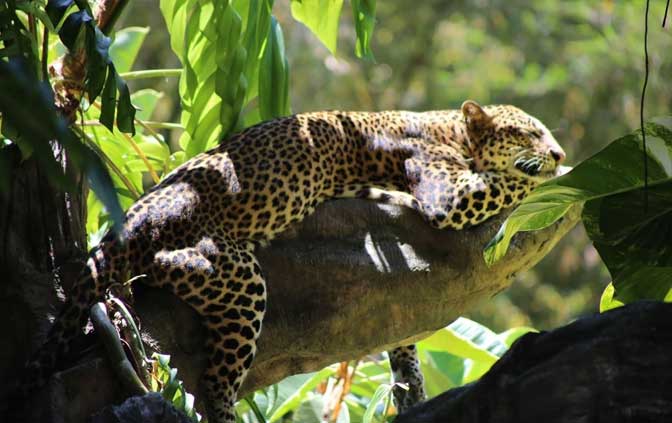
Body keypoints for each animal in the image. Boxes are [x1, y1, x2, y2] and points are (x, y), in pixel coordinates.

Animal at [22, 100, 565, 422]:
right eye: (529, 133)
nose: (558, 152)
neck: (452, 127)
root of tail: (131, 219)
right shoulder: (445, 194)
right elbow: (509, 182)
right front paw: (561, 175)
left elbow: (404, 340)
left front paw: (410, 384)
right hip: (237, 277)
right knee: (213, 375)